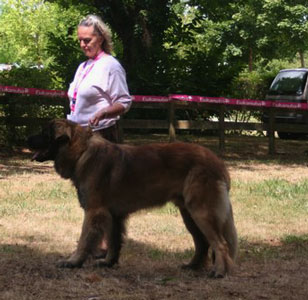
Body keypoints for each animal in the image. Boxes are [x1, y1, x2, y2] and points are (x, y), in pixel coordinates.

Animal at [27, 118, 238, 278]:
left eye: (44, 133)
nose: (26, 140)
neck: (82, 152)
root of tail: (218, 162)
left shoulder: (94, 211)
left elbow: (84, 240)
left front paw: (73, 261)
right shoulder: (113, 215)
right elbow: (114, 241)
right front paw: (109, 262)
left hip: (201, 212)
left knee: (220, 244)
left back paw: (219, 272)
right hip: (189, 214)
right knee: (202, 242)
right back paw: (192, 266)